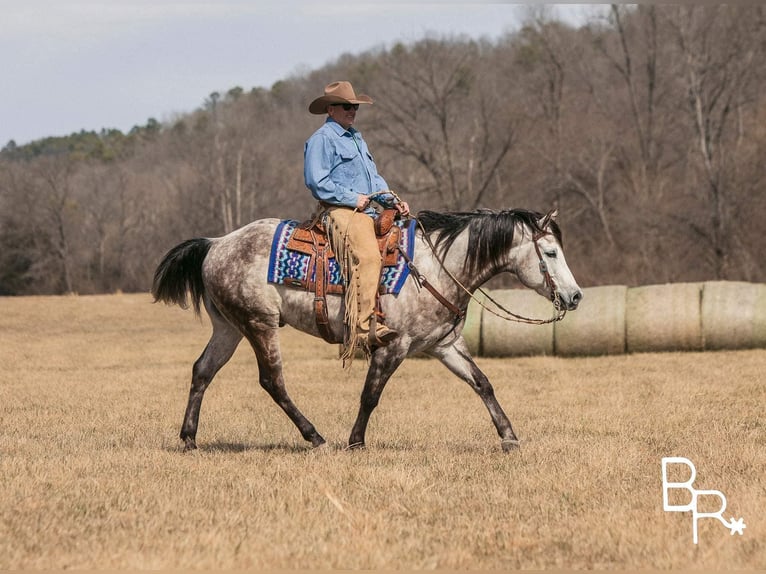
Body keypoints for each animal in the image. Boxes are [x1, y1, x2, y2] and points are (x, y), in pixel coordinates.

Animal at [148, 208, 584, 454]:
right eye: (550, 252)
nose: (576, 296)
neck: (436, 268)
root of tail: (216, 244)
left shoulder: (444, 345)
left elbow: (483, 384)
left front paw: (509, 437)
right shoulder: (394, 346)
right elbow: (371, 394)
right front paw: (356, 441)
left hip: (230, 327)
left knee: (202, 371)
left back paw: (189, 438)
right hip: (259, 324)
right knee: (272, 381)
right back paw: (315, 437)